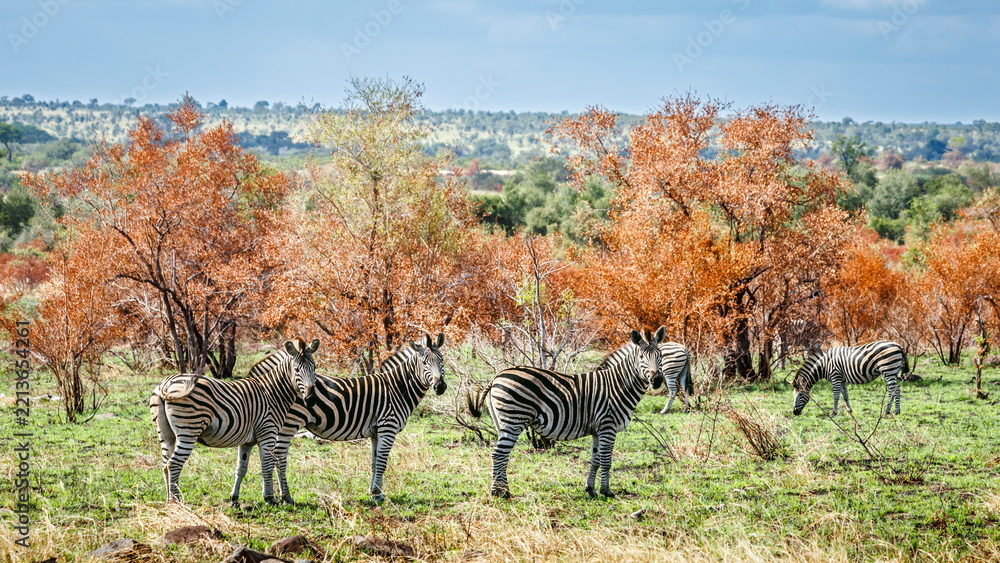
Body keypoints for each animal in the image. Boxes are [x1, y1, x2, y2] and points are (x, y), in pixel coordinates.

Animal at [149, 337, 319, 505]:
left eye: (314, 368)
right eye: (296, 370)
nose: (311, 399)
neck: (273, 392)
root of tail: (166, 383)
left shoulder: (247, 441)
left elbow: (241, 468)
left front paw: (234, 498)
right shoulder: (267, 432)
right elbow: (267, 465)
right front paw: (269, 498)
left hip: (166, 434)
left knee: (165, 464)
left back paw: (169, 501)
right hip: (188, 430)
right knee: (174, 464)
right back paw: (176, 501)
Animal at [272, 333, 447, 504]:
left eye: (442, 360)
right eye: (424, 363)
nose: (440, 387)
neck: (397, 388)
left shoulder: (376, 432)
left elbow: (375, 462)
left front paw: (374, 492)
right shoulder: (388, 427)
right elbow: (382, 462)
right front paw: (378, 494)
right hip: (291, 422)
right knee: (279, 457)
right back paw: (286, 497)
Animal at [467, 327, 665, 499]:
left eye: (661, 356)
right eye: (641, 356)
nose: (656, 380)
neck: (618, 386)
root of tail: (497, 375)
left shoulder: (597, 429)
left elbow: (595, 459)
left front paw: (591, 490)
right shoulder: (608, 425)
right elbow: (606, 460)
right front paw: (607, 492)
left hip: (501, 422)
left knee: (500, 454)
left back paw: (503, 490)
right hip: (513, 420)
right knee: (499, 454)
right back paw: (499, 493)